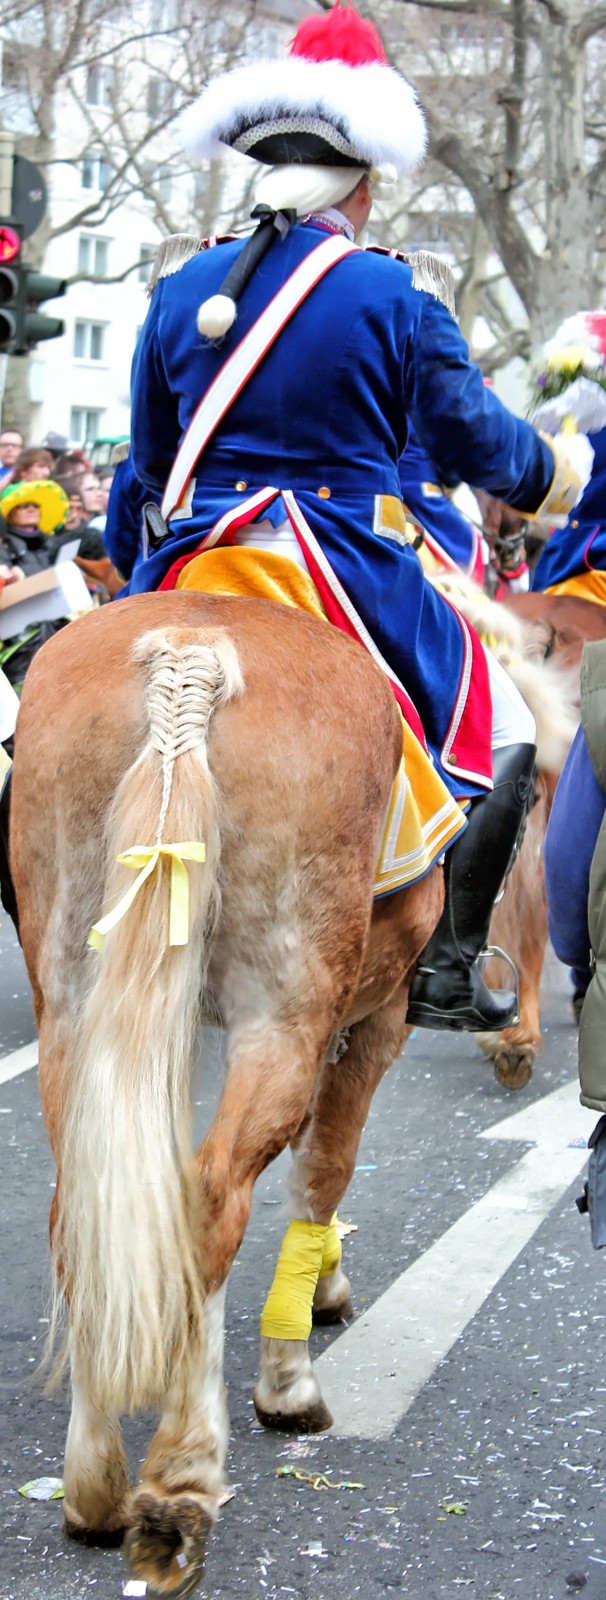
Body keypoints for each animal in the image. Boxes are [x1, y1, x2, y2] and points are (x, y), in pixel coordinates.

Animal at [10, 595, 447, 1593]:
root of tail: (191, 650)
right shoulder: (374, 1020)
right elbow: (326, 1170)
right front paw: (291, 1374)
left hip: (76, 1010)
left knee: (86, 1210)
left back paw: (96, 1486)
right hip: (280, 1020)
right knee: (212, 1199)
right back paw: (179, 1482)